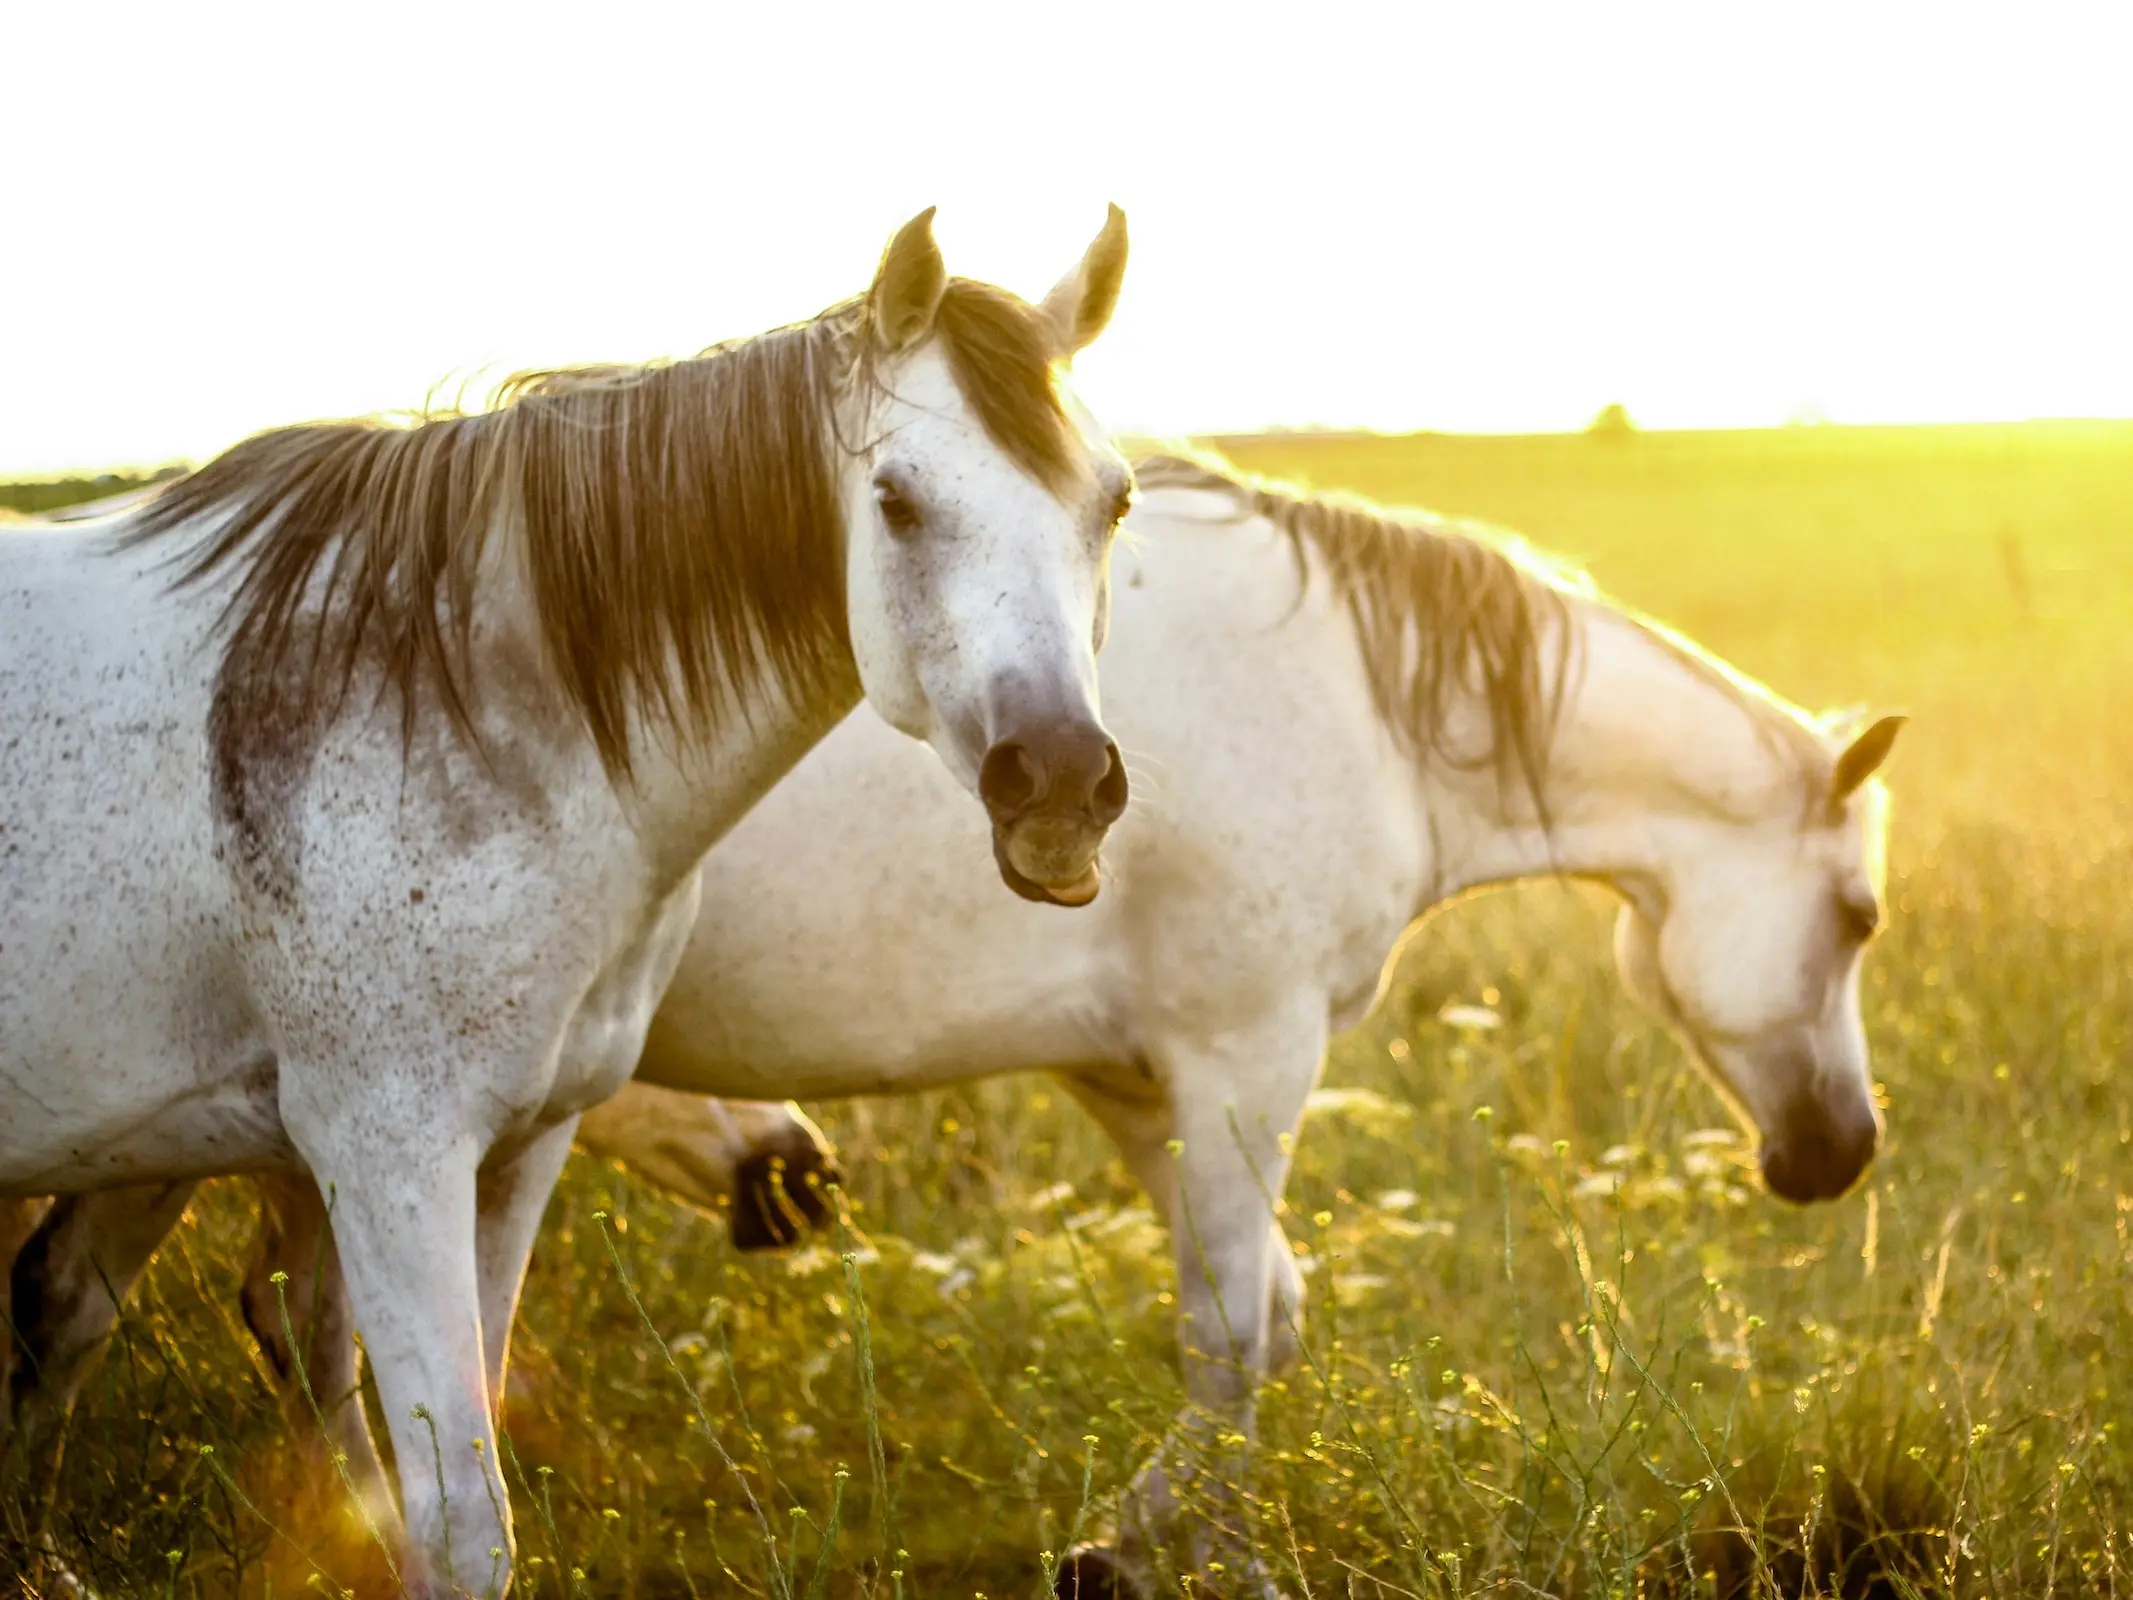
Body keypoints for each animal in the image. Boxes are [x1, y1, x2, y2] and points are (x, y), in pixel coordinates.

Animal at [0, 206, 1143, 1595]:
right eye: (897, 500)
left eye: (1115, 500)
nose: (1062, 784)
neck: (448, 715)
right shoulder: (383, 1157)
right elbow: (458, 1520)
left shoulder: (516, 1148)